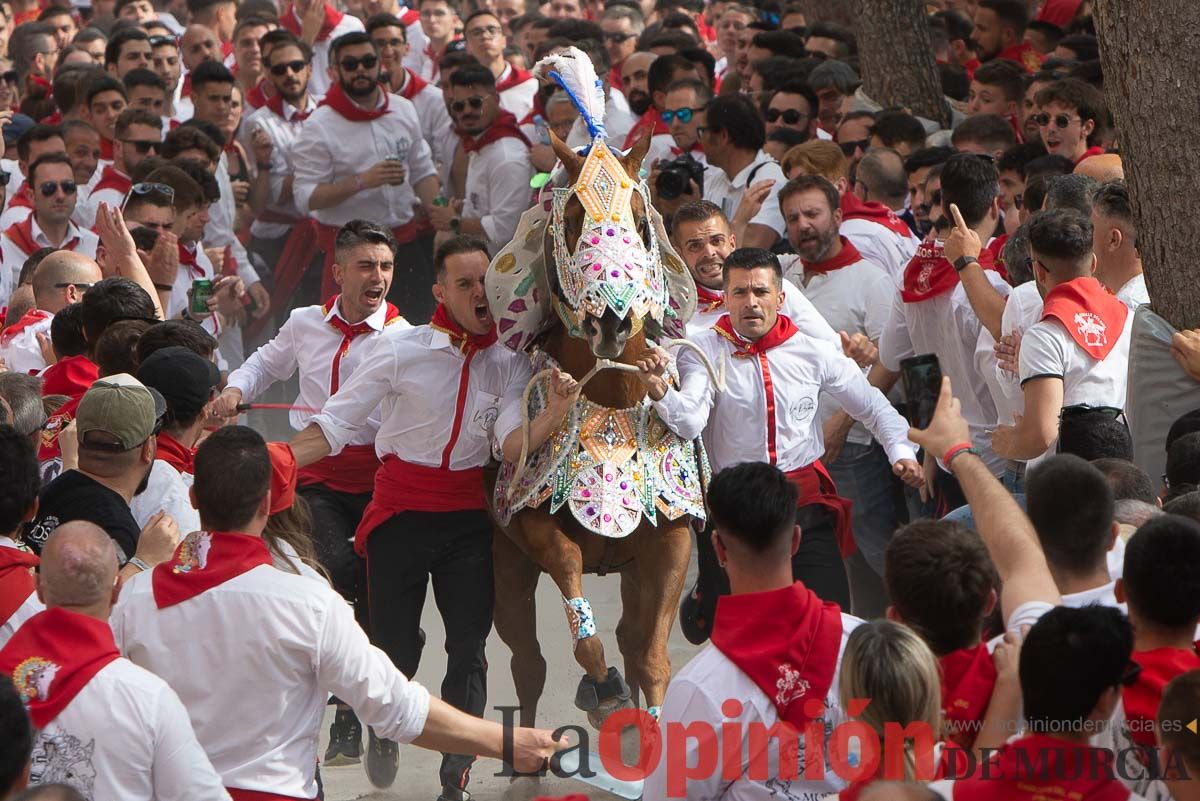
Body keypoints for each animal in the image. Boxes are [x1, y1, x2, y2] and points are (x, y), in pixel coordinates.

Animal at [484, 47, 720, 729]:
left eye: (641, 221)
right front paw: (601, 687)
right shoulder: (532, 524)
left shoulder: (668, 539)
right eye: (571, 218)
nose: (612, 319)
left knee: (631, 639)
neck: (612, 402)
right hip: (505, 573)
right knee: (528, 664)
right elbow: (572, 588)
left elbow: (651, 657)